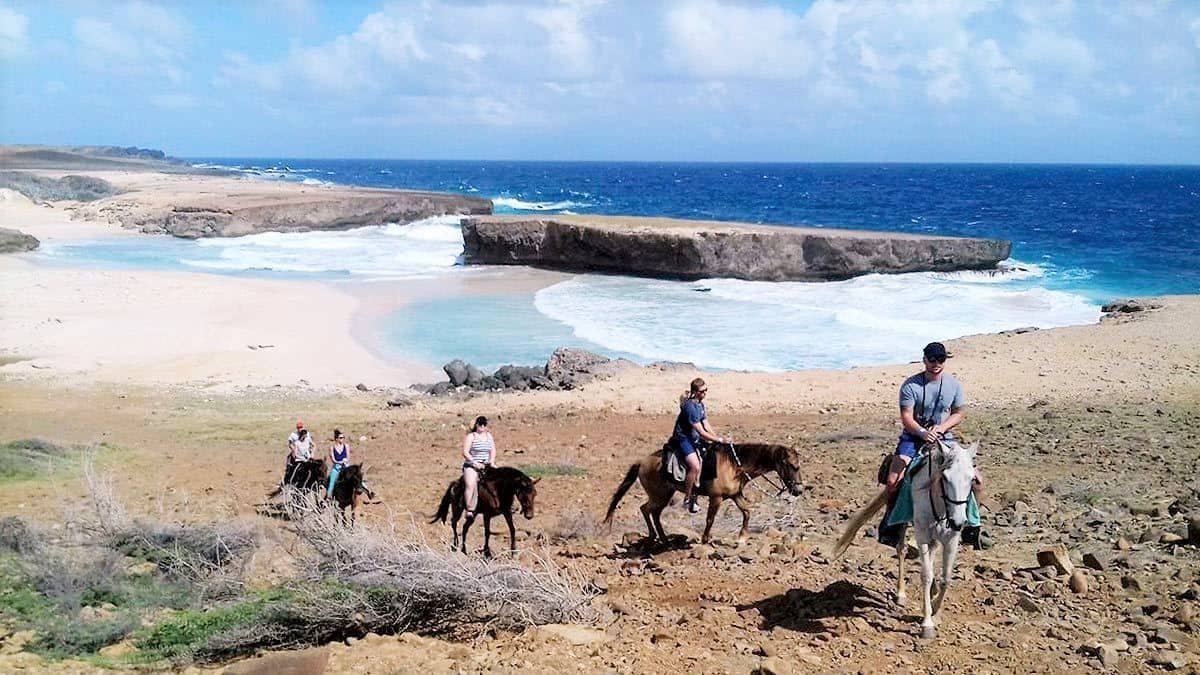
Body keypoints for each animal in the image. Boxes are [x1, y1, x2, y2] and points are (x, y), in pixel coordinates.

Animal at [604, 439, 801, 542]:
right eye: (793, 466)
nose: (798, 490)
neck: (735, 465)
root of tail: (642, 462)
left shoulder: (735, 495)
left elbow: (747, 512)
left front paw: (742, 536)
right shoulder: (716, 497)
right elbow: (710, 519)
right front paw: (705, 540)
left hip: (664, 495)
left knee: (653, 512)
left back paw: (663, 537)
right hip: (659, 495)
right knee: (646, 509)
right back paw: (655, 535)